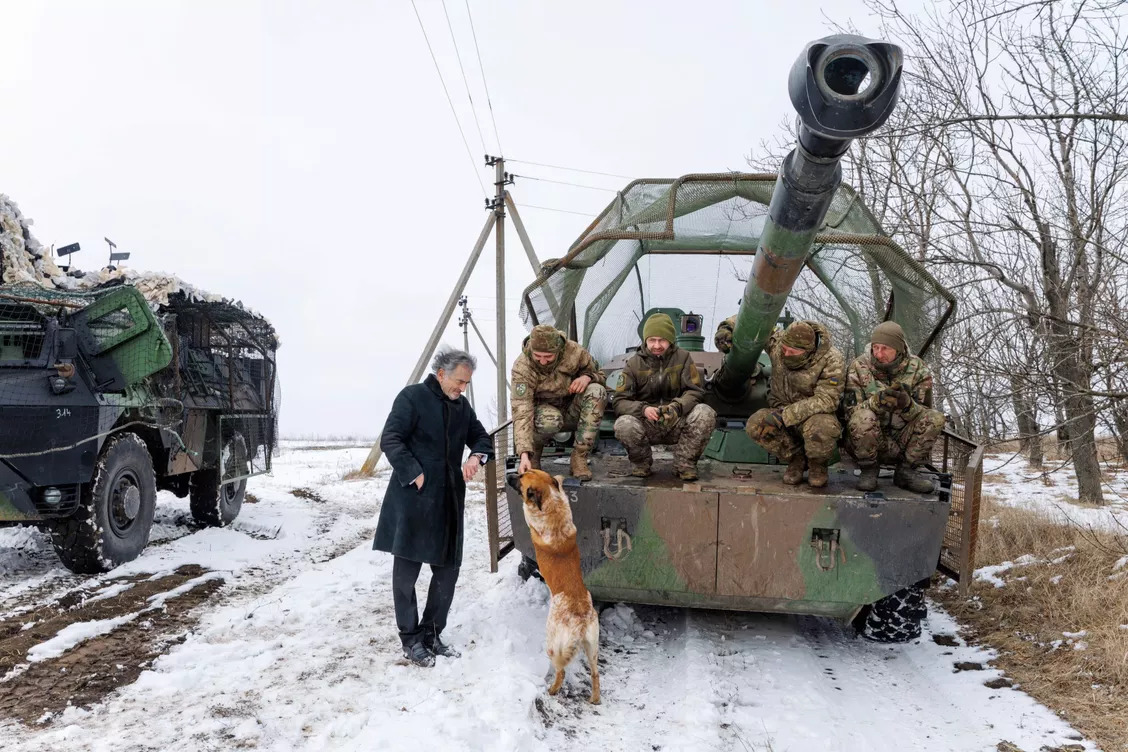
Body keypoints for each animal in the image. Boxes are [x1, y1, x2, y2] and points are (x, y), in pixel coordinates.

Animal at [509, 471, 600, 708]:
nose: (510, 474)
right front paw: (559, 480)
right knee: (595, 673)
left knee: (561, 671)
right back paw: (595, 699)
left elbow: (527, 510)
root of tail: (580, 621)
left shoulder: (532, 518)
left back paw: (551, 689)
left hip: (553, 643)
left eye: (521, 479)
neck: (552, 506)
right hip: (592, 647)